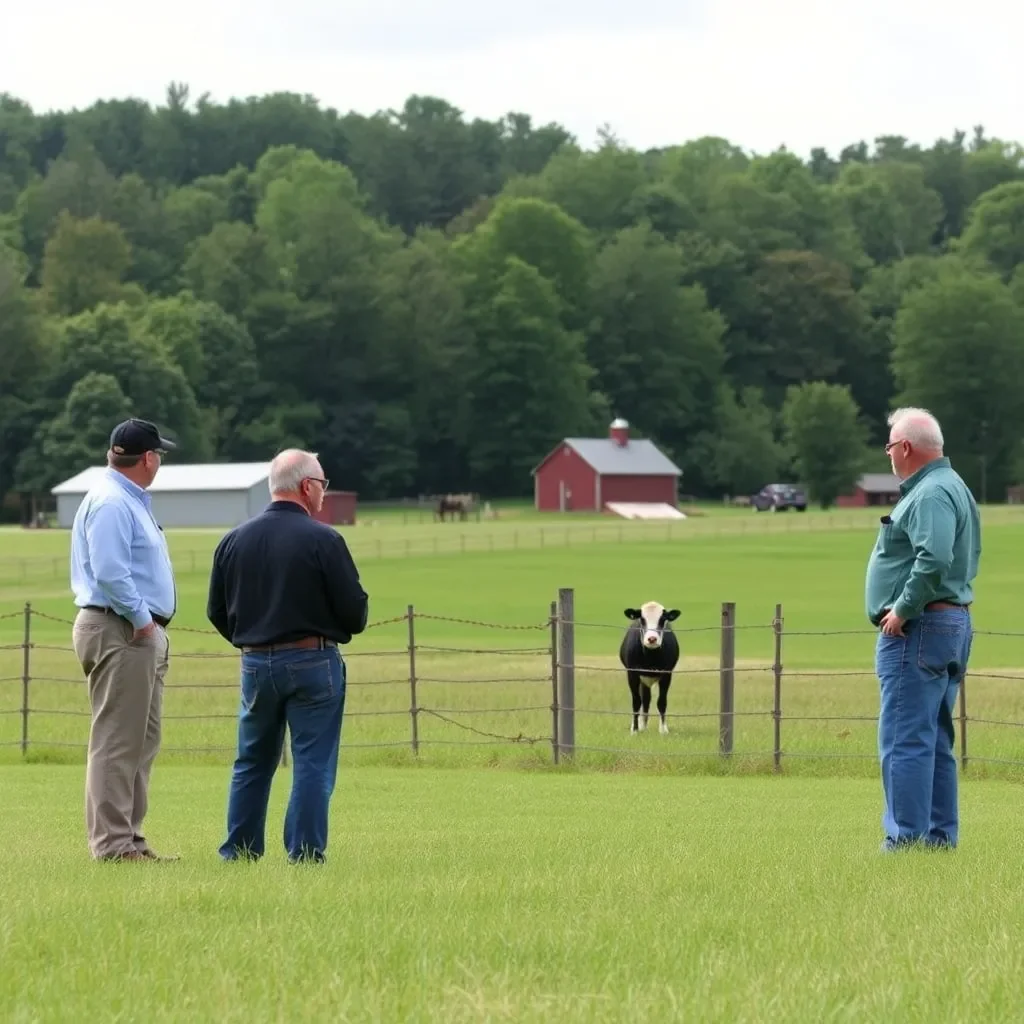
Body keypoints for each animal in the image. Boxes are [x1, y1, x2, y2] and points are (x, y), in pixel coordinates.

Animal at [614, 598, 679, 737]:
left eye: (662, 619)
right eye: (642, 619)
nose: (652, 639)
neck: (650, 656)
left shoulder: (667, 674)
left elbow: (661, 702)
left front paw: (663, 730)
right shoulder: (632, 673)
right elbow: (636, 702)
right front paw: (634, 730)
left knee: (647, 700)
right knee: (644, 700)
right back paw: (640, 726)